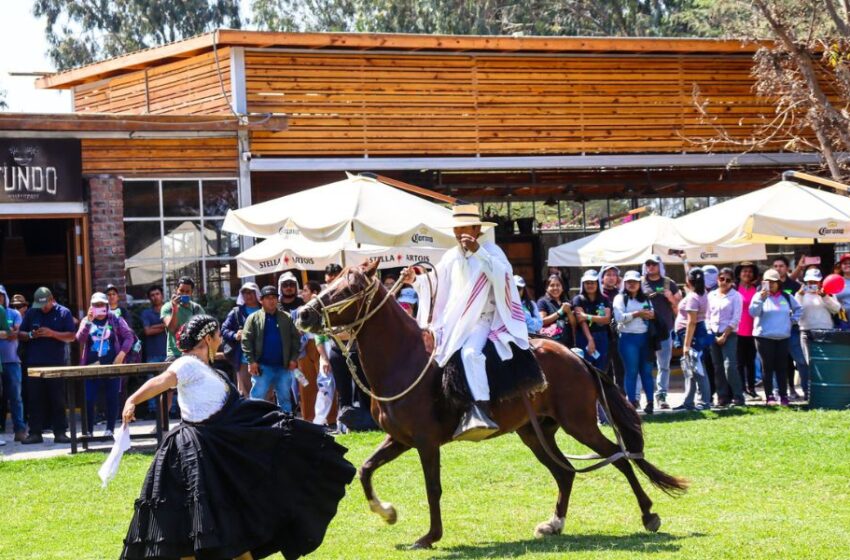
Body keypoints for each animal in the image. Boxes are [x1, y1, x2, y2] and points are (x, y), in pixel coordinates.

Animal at [294, 260, 684, 548]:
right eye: (329, 283)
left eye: (347, 289)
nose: (302, 315)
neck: (403, 358)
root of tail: (575, 357)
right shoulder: (399, 439)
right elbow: (365, 469)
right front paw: (387, 512)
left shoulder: (424, 442)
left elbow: (432, 488)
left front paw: (429, 536)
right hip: (535, 432)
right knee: (566, 472)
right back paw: (554, 524)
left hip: (581, 424)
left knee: (620, 458)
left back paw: (648, 514)